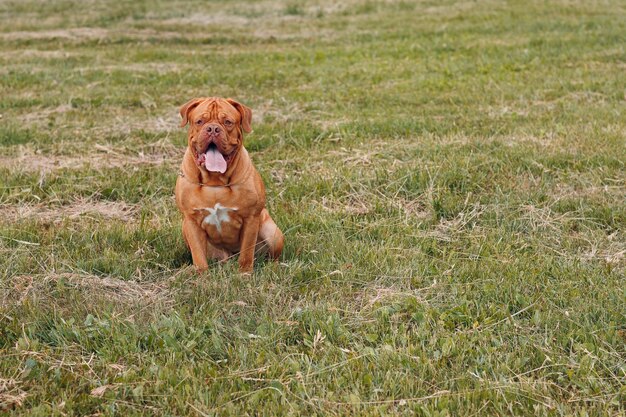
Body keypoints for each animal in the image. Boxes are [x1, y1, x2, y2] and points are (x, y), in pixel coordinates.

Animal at [174, 97, 284, 272]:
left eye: (228, 122)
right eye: (199, 121)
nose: (212, 129)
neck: (214, 181)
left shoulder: (251, 219)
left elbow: (246, 254)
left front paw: (245, 274)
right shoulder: (191, 221)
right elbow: (198, 256)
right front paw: (202, 275)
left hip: (272, 232)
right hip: (186, 229)